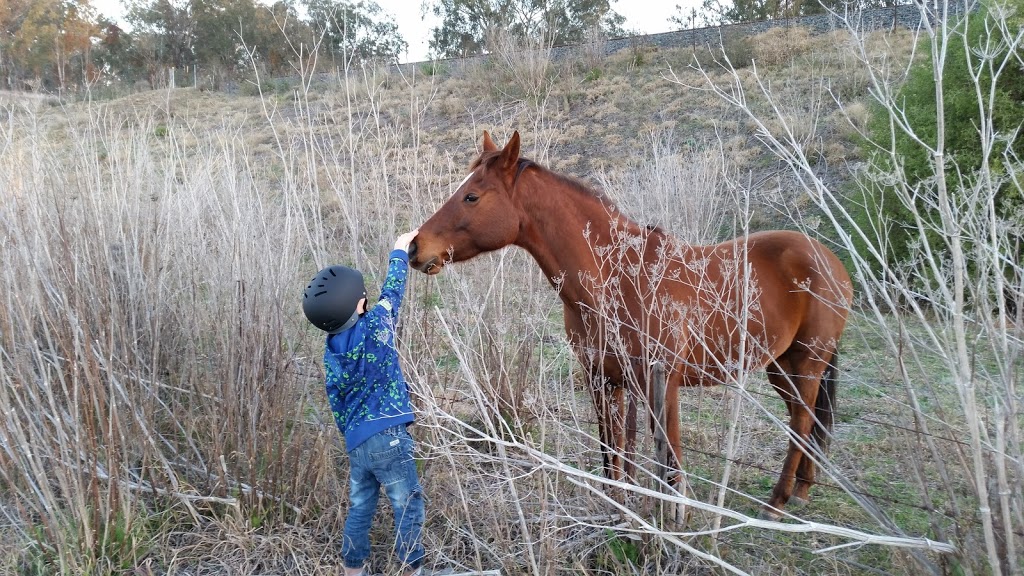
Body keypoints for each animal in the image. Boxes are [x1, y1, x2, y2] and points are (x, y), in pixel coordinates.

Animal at [403, 130, 851, 516]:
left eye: (472, 196)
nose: (415, 247)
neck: (617, 275)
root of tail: (829, 259)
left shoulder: (660, 382)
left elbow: (669, 461)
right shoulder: (603, 379)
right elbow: (612, 452)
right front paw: (617, 506)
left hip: (805, 365)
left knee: (802, 422)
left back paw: (777, 502)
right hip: (782, 366)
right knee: (805, 421)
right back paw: (802, 489)